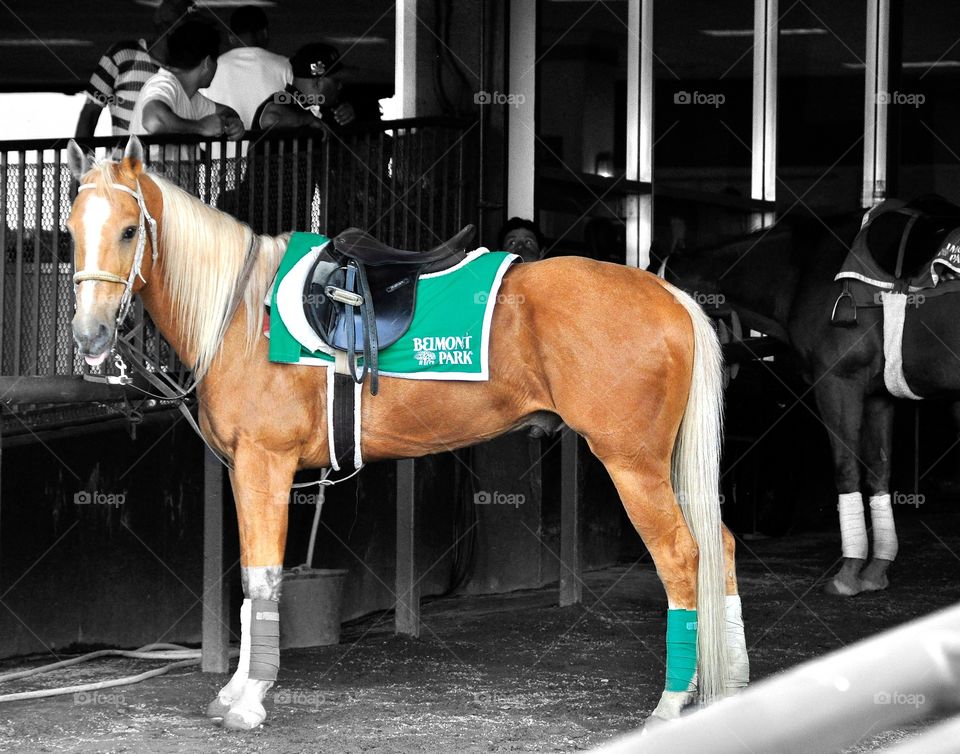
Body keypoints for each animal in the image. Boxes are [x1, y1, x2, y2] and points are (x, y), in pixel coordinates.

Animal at [65, 135, 752, 728]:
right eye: (71, 230)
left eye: (129, 230)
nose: (90, 336)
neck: (243, 313)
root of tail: (668, 295)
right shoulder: (244, 469)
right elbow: (250, 579)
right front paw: (235, 691)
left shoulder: (268, 464)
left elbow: (264, 577)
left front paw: (251, 698)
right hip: (662, 463)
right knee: (719, 545)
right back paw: (734, 684)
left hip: (631, 463)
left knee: (681, 555)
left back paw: (670, 701)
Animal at [664, 204, 960, 592]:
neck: (803, 273)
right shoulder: (878, 395)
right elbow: (878, 473)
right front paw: (876, 569)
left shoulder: (837, 383)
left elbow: (846, 470)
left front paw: (849, 572)